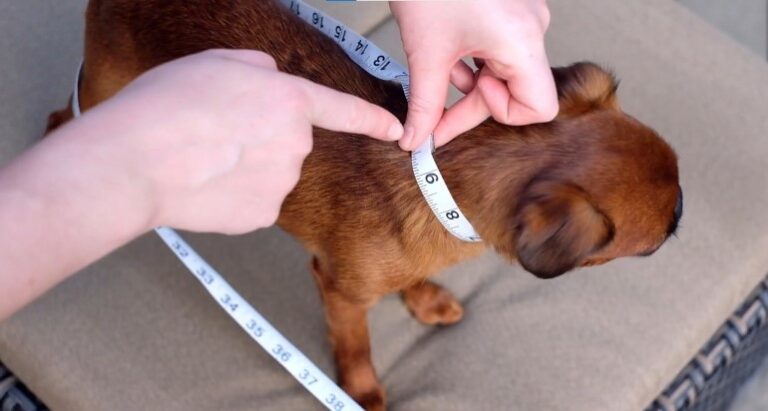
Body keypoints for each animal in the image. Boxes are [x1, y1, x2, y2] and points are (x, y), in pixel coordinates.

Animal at [48, 1, 680, 410]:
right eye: (661, 238)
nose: (684, 216)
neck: (440, 185)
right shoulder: (340, 292)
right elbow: (356, 346)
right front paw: (364, 390)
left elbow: (414, 278)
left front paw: (424, 299)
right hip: (107, 91)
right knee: (66, 118)